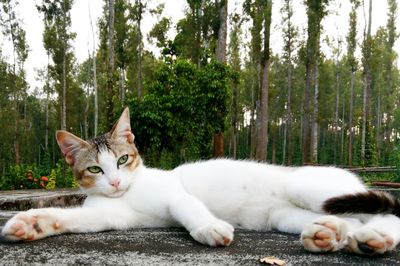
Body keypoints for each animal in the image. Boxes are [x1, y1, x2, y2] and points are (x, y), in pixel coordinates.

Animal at [2, 107, 400, 256]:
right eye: (95, 170)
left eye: (122, 160)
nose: (115, 183)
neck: (130, 192)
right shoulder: (110, 215)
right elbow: (72, 218)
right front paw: (32, 224)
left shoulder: (175, 195)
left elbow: (189, 208)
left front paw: (208, 228)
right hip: (286, 215)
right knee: (350, 220)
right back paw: (337, 236)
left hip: (310, 188)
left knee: (388, 214)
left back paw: (372, 237)